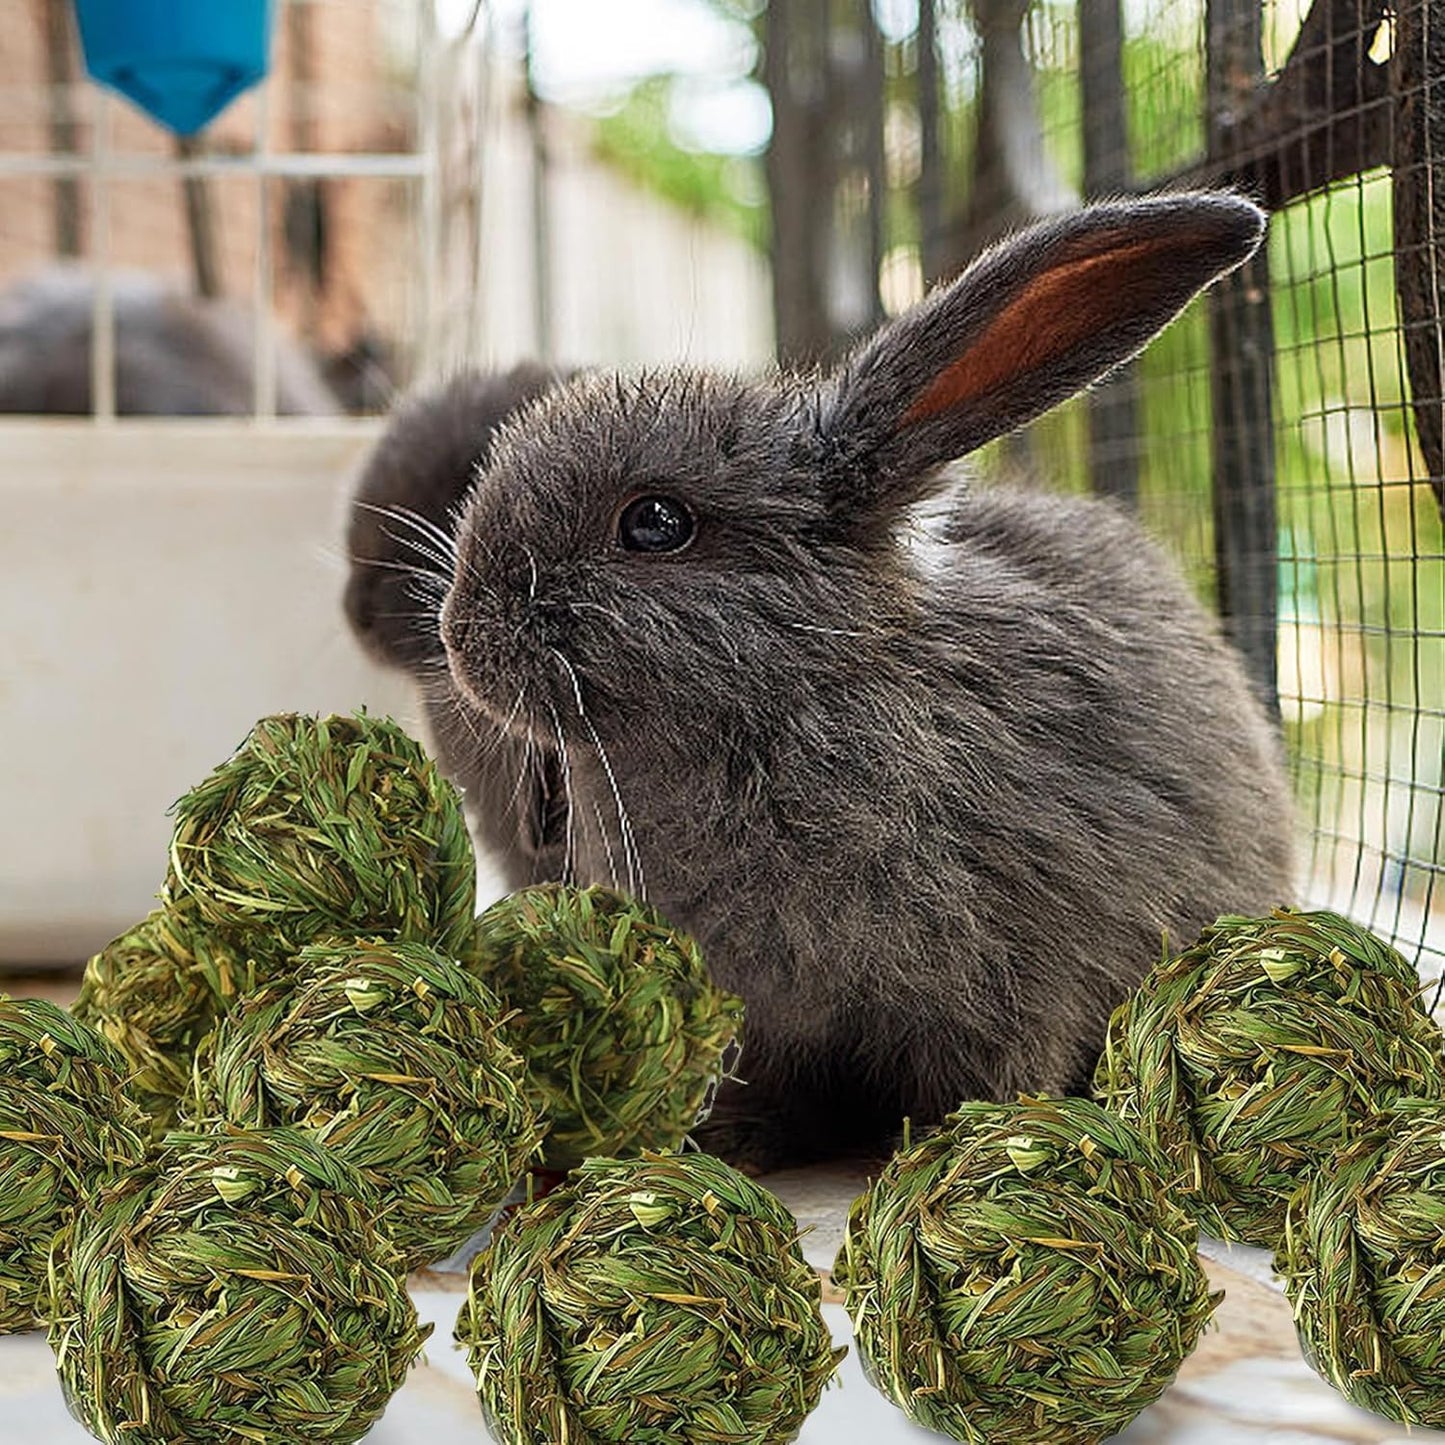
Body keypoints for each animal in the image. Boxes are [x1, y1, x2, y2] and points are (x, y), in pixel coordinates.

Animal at [344, 193, 1297, 1171]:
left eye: (655, 523)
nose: (459, 639)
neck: (796, 696)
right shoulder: (760, 1018)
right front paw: (734, 1141)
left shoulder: (1019, 983)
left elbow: (999, 1065)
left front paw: (940, 1149)